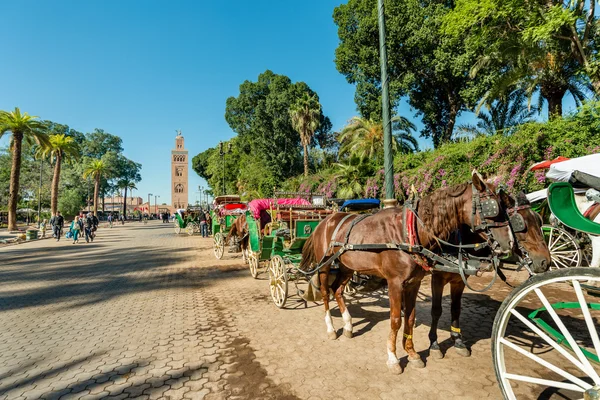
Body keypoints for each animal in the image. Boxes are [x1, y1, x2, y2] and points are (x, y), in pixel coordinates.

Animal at [298, 173, 512, 376]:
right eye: (491, 207)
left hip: (347, 266)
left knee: (337, 290)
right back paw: (331, 328)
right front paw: (393, 358)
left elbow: (409, 318)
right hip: (325, 265)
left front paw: (412, 353)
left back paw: (349, 326)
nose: (508, 243)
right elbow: (396, 320)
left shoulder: (413, 283)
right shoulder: (395, 283)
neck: (408, 232)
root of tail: (326, 220)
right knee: (325, 293)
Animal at [428, 191, 552, 360]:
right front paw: (434, 343)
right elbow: (436, 311)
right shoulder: (437, 279)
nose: (545, 262)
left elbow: (456, 309)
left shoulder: (459, 281)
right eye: (520, 224)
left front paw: (458, 340)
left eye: (539, 221)